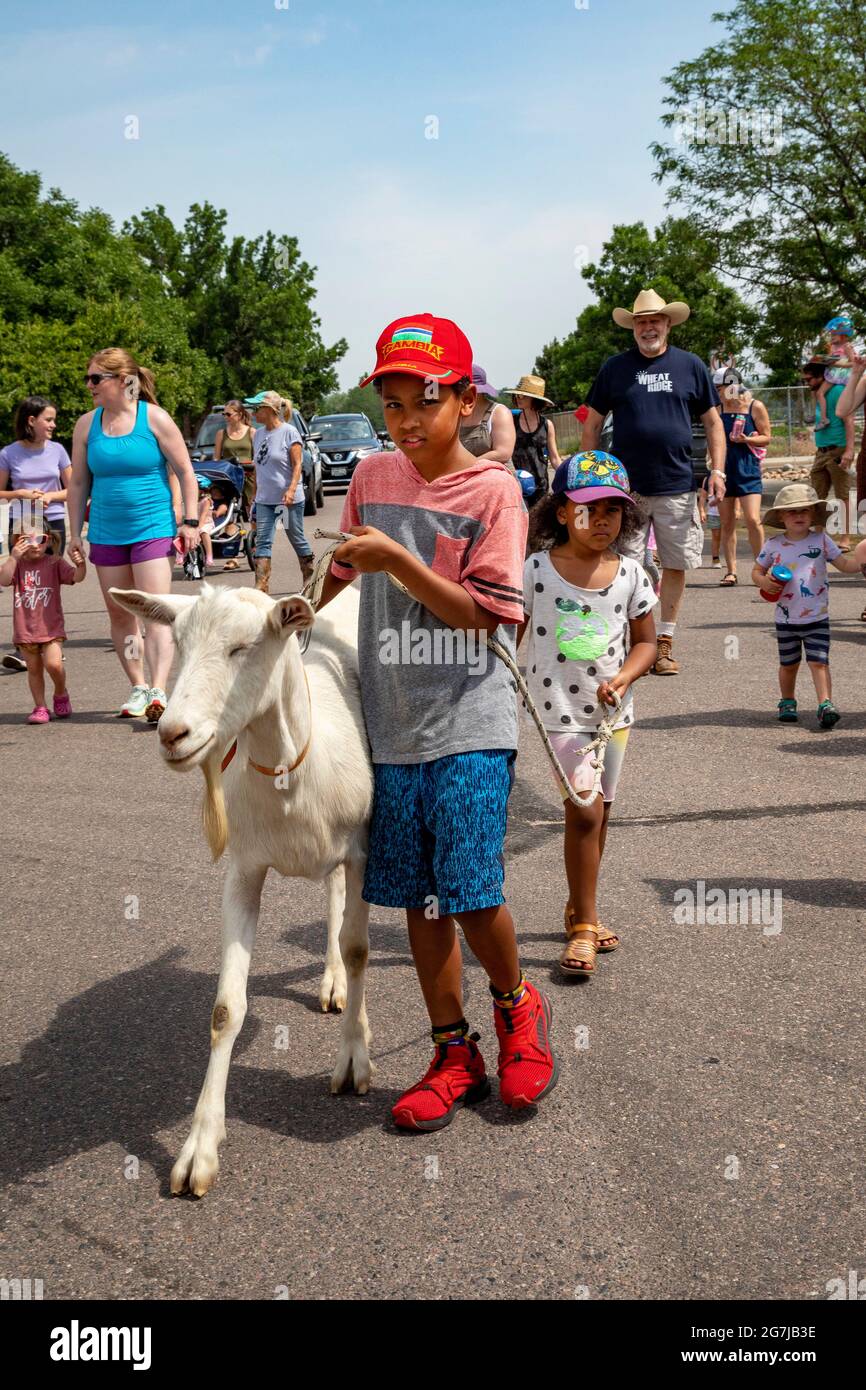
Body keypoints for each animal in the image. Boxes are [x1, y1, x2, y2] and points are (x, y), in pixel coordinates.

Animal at [109, 583, 372, 1195]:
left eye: (243, 647)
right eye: (177, 643)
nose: (172, 733)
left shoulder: (364, 849)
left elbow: (359, 949)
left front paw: (354, 1057)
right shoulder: (243, 871)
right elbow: (226, 1008)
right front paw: (199, 1148)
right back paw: (330, 981)